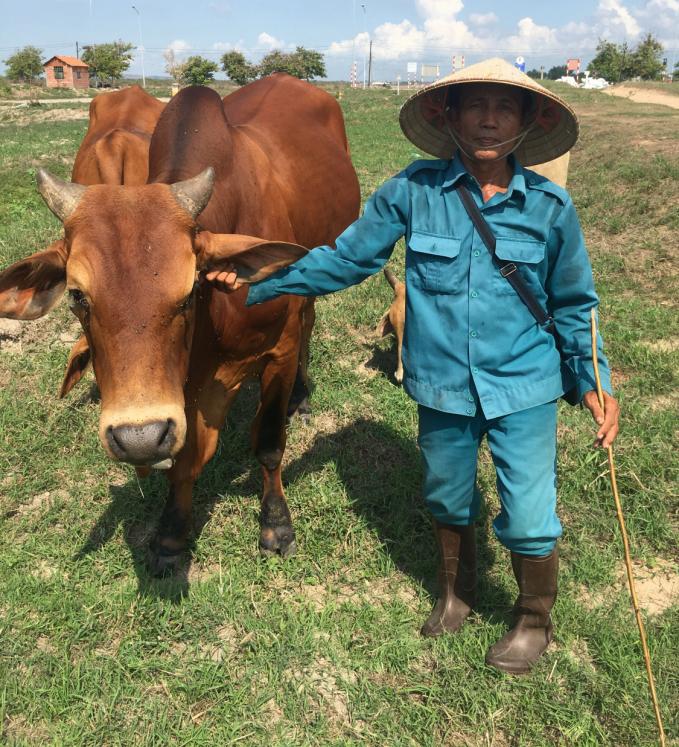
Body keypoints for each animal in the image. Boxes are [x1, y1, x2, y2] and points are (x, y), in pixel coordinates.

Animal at [1, 77, 362, 572]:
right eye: (76, 296)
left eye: (190, 289)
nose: (137, 439)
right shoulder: (184, 384)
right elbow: (186, 457)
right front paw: (172, 532)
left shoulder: (279, 351)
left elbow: (269, 444)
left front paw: (277, 524)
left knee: (309, 319)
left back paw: (301, 396)